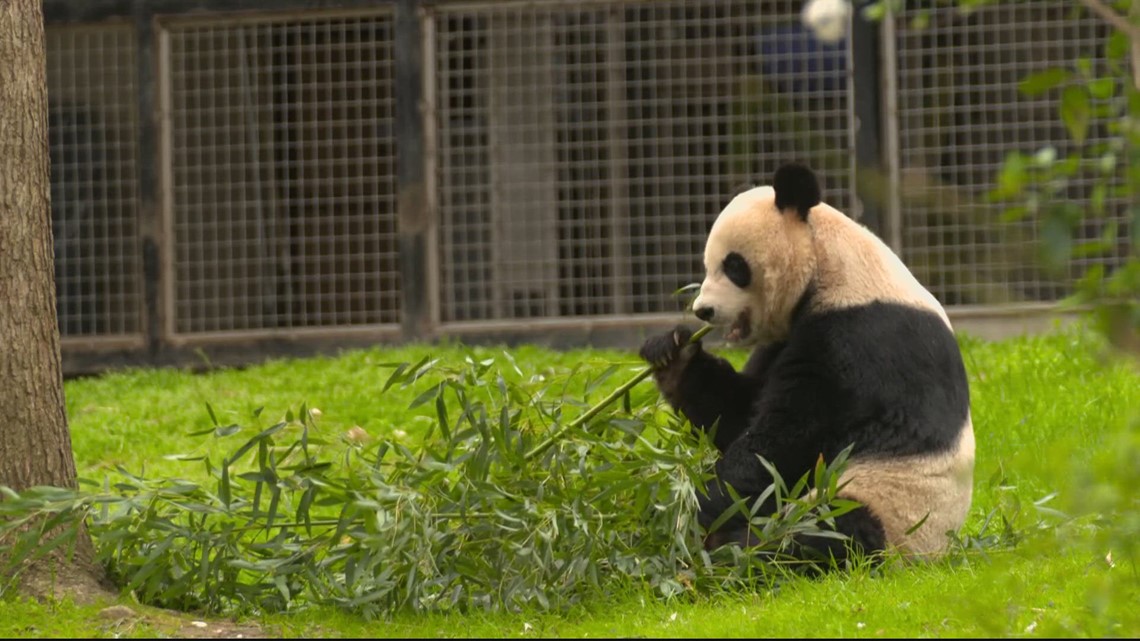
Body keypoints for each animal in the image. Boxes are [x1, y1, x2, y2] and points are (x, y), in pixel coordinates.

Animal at [638, 161, 975, 561]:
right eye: (708, 265)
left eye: (734, 266)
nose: (703, 310)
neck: (830, 267)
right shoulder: (782, 341)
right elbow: (737, 412)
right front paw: (672, 352)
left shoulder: (858, 339)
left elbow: (786, 437)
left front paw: (701, 507)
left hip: (892, 508)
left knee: (832, 531)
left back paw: (741, 551)